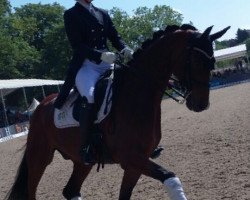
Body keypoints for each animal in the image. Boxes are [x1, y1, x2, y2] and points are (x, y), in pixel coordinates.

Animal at [5, 25, 229, 200]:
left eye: (212, 62)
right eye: (197, 62)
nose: (201, 104)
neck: (135, 95)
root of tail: (41, 105)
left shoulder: (134, 165)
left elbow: (125, 195)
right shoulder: (131, 158)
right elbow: (171, 178)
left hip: (82, 161)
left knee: (71, 190)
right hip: (39, 157)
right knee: (32, 192)